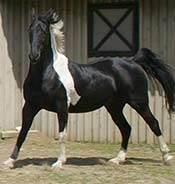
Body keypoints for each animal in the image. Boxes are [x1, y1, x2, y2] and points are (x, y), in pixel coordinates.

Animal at [3, 9, 174, 169]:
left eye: (44, 31)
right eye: (30, 29)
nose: (34, 56)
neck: (47, 74)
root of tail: (133, 61)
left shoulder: (62, 106)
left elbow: (62, 134)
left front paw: (59, 162)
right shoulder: (30, 106)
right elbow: (23, 132)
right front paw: (10, 161)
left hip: (139, 102)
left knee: (154, 123)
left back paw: (166, 157)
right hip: (115, 106)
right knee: (126, 128)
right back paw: (118, 159)